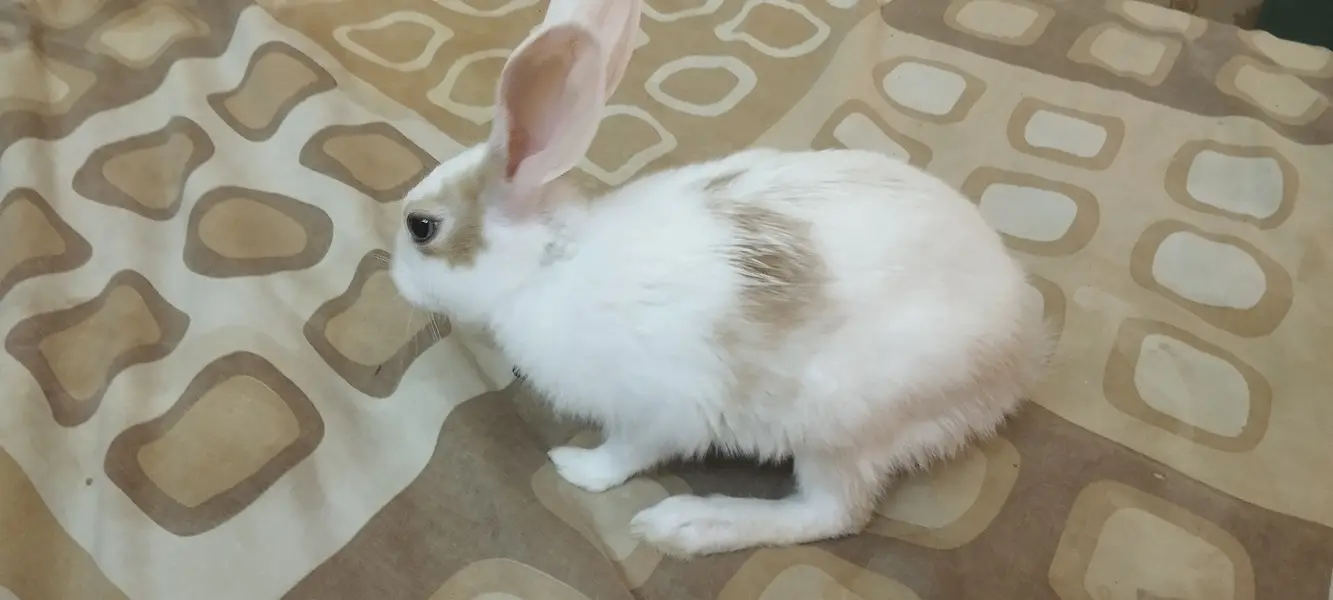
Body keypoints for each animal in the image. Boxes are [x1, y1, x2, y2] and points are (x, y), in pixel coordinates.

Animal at [388, 0, 1051, 557]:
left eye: (421, 227)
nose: (393, 277)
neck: (547, 264)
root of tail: (1017, 354)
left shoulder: (657, 411)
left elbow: (625, 454)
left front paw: (575, 467)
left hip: (844, 427)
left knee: (834, 513)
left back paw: (687, 524)